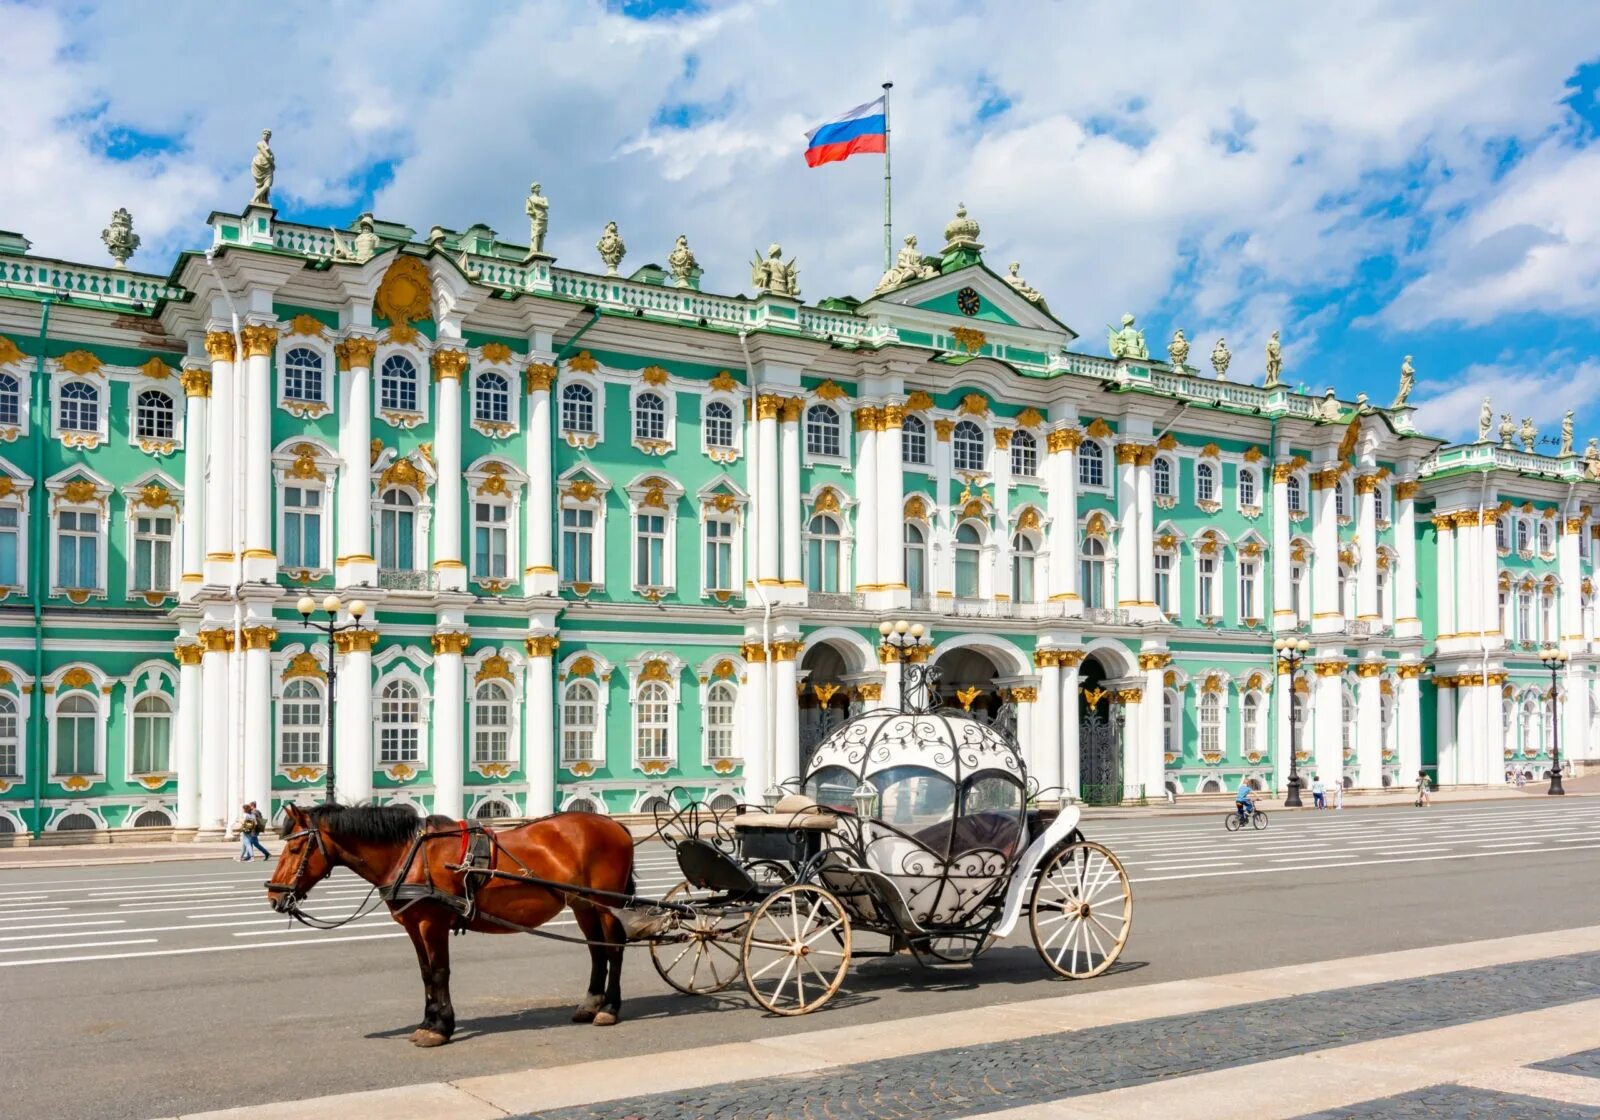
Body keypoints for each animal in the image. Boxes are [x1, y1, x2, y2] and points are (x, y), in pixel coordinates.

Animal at [265, 800, 633, 1043]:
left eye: (295, 849)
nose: (273, 897)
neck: (410, 854)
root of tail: (616, 825)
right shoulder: (413, 924)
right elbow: (426, 974)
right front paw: (429, 1021)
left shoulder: (433, 922)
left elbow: (440, 971)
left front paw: (440, 1027)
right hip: (584, 905)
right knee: (597, 951)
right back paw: (589, 1005)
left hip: (608, 904)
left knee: (614, 950)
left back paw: (609, 1009)